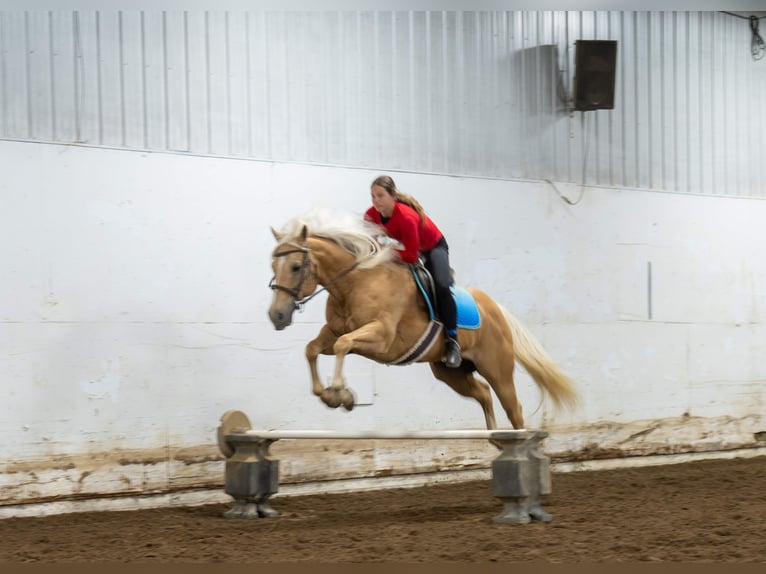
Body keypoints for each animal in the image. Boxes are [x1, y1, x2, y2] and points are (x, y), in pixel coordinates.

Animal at [267, 208, 578, 430]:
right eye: (273, 265)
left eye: (295, 267)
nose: (276, 315)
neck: (354, 283)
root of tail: (495, 310)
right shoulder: (332, 332)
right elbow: (313, 349)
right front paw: (328, 395)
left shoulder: (380, 337)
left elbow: (344, 344)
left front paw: (340, 394)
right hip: (450, 372)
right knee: (483, 393)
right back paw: (493, 439)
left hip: (497, 368)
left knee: (514, 409)